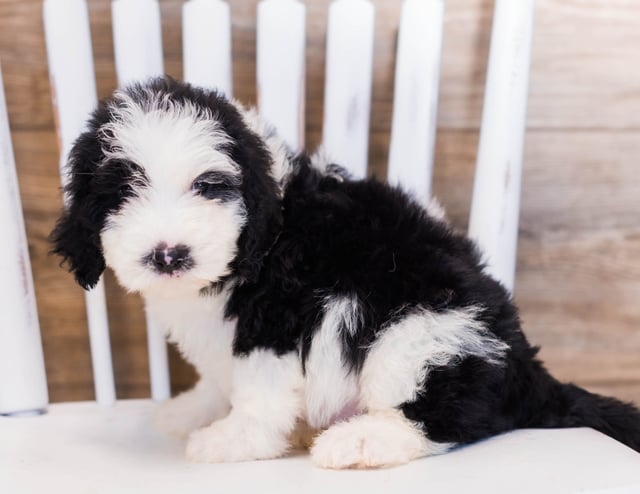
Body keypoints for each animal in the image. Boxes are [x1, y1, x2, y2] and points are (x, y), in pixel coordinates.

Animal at [53, 77, 640, 466]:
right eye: (122, 193)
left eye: (209, 186)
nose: (169, 254)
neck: (265, 229)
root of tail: (528, 370)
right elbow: (220, 379)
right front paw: (195, 410)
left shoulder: (278, 319)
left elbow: (258, 391)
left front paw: (233, 439)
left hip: (421, 331)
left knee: (447, 415)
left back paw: (361, 440)